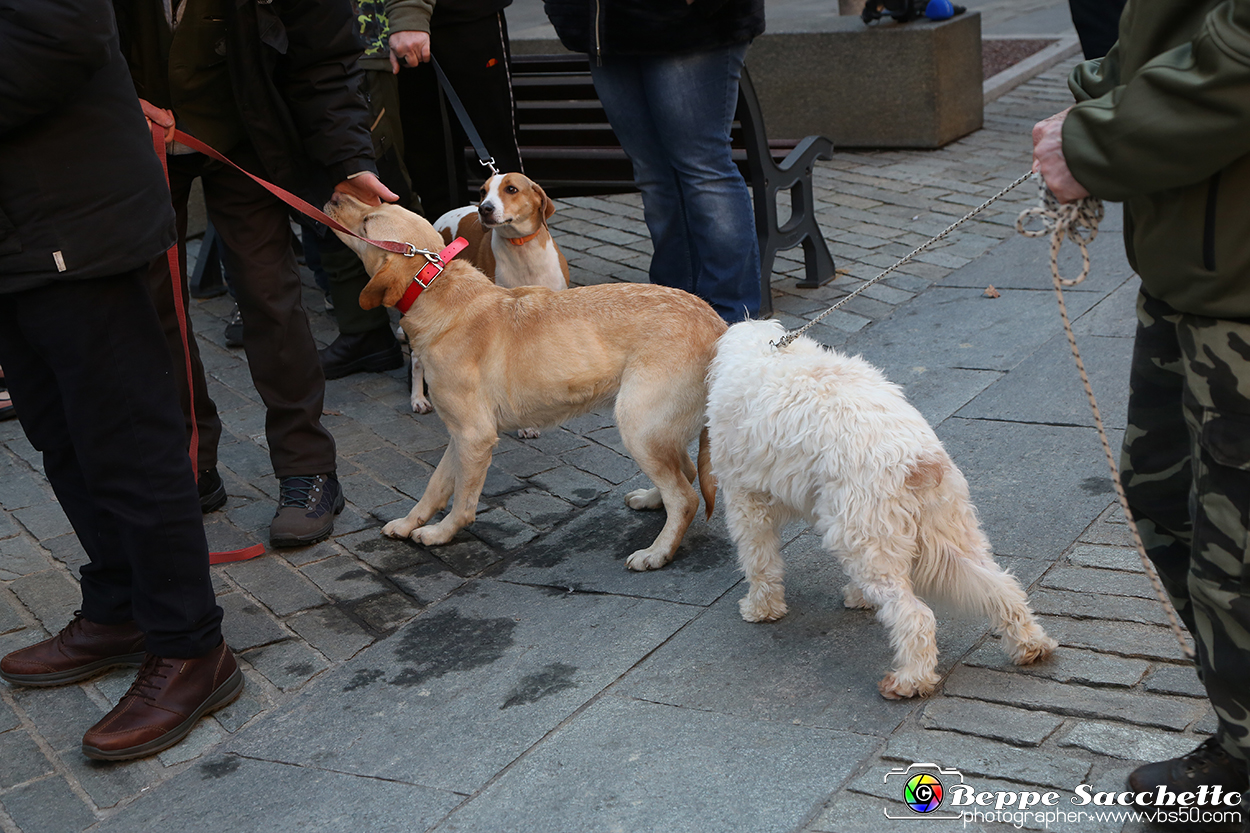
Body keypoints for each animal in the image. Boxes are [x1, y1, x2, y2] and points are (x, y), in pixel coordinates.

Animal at [705, 317, 1055, 695]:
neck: (768, 349)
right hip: (943, 539)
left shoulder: (746, 503)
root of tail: (917, 460)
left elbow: (759, 562)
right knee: (1003, 587)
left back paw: (910, 680)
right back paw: (1030, 645)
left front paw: (762, 608)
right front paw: (857, 597)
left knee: (916, 616)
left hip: (870, 545)